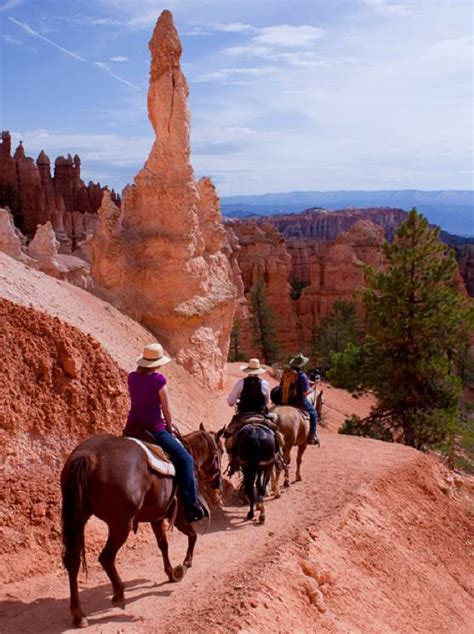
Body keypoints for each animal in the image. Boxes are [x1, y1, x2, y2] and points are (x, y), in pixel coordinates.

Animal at [60, 422, 221, 624]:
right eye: (220, 451)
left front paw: (170, 572)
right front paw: (184, 565)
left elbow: (163, 544)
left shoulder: (156, 517)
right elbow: (192, 536)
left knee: (73, 560)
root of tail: (87, 455)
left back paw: (78, 614)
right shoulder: (180, 517)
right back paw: (119, 594)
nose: (218, 482)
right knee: (106, 557)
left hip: (78, 517)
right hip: (120, 524)